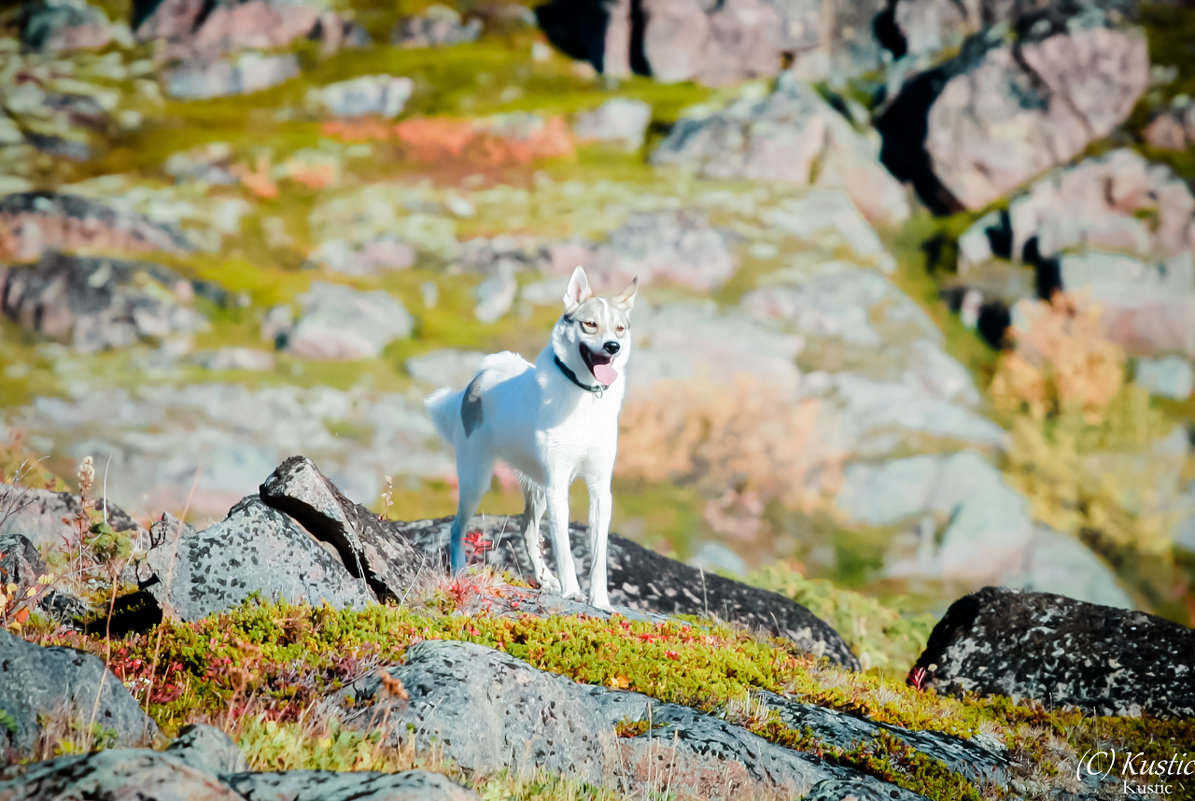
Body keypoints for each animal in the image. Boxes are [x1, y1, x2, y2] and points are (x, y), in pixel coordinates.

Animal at [427, 265, 640, 609]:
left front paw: (600, 600)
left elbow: (598, 555)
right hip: (478, 480)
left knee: (527, 528)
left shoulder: (598, 488)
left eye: (619, 329)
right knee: (457, 527)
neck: (583, 394)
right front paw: (572, 590)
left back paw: (545, 579)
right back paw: (459, 570)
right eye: (590, 324)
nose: (612, 347)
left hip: (536, 487)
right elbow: (565, 547)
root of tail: (478, 378)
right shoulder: (558, 486)